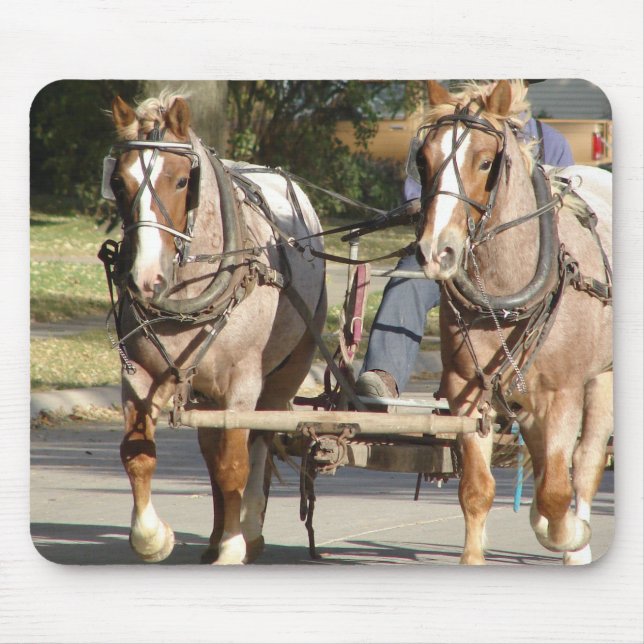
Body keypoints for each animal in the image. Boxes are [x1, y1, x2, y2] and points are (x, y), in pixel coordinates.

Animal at [102, 91, 326, 564]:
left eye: (182, 181)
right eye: (118, 181)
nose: (145, 279)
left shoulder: (242, 383)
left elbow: (234, 465)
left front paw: (234, 545)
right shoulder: (138, 377)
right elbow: (137, 455)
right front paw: (153, 538)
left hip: (286, 371)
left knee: (259, 441)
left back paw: (248, 530)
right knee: (211, 450)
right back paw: (215, 534)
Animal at [414, 80, 612, 565]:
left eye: (486, 162)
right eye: (423, 159)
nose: (435, 251)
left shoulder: (563, 393)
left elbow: (557, 492)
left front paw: (568, 534)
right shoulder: (466, 391)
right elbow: (476, 490)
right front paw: (472, 558)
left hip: (602, 377)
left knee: (586, 460)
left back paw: (576, 542)